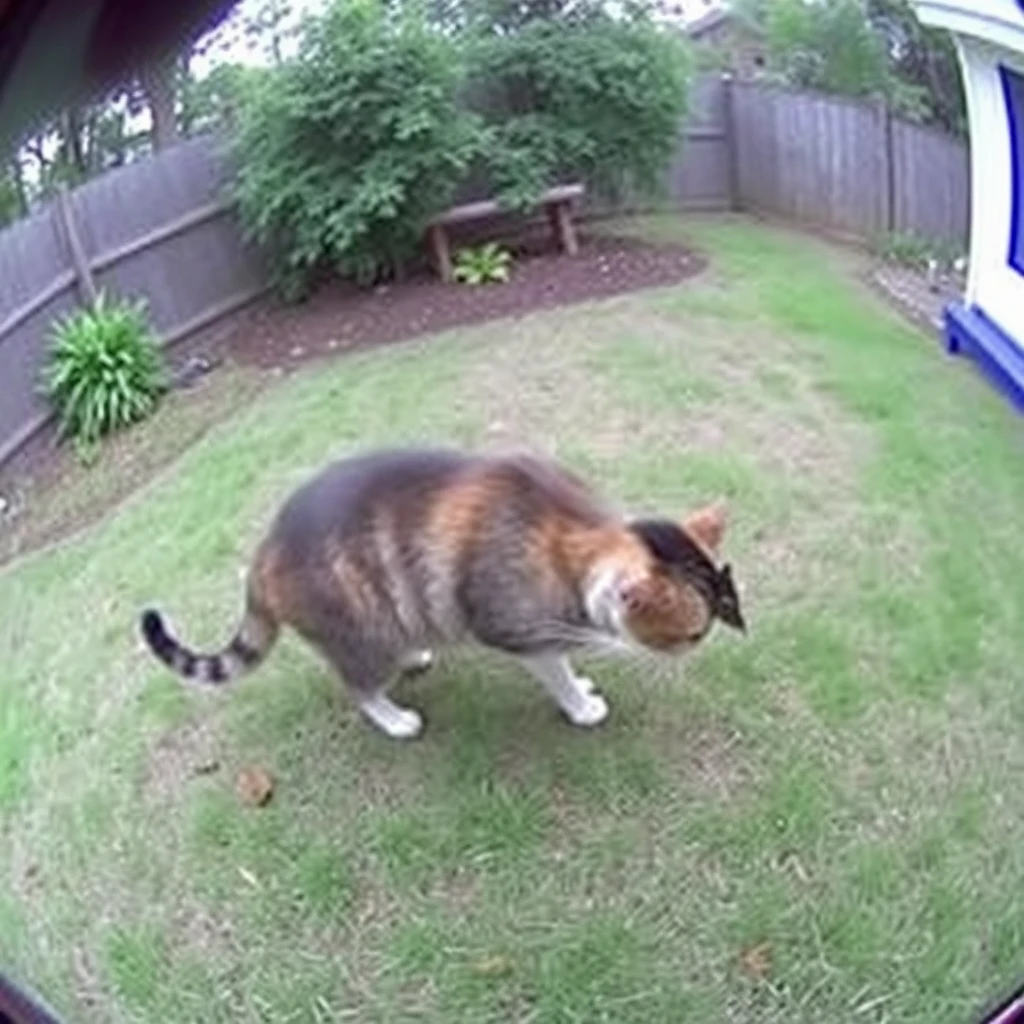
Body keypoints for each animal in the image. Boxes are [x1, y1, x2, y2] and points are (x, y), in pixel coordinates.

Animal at [138, 446, 745, 737]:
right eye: (692, 635)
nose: (699, 653)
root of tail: (262, 554)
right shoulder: (516, 628)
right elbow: (554, 670)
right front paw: (580, 704)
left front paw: (583, 682)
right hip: (360, 634)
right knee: (358, 687)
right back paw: (393, 719)